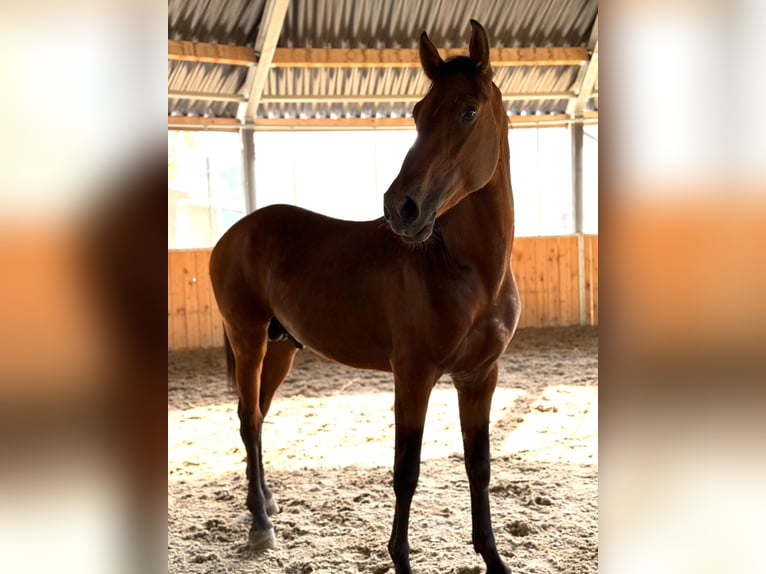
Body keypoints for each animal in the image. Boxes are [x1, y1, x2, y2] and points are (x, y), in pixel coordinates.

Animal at [209, 20, 520, 574]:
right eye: (418, 113)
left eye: (468, 110)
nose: (402, 208)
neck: (466, 271)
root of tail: (235, 234)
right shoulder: (413, 376)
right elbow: (406, 470)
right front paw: (401, 559)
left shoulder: (480, 376)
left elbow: (479, 467)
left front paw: (493, 558)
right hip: (249, 341)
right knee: (247, 420)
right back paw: (260, 525)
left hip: (281, 348)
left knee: (258, 418)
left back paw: (264, 503)